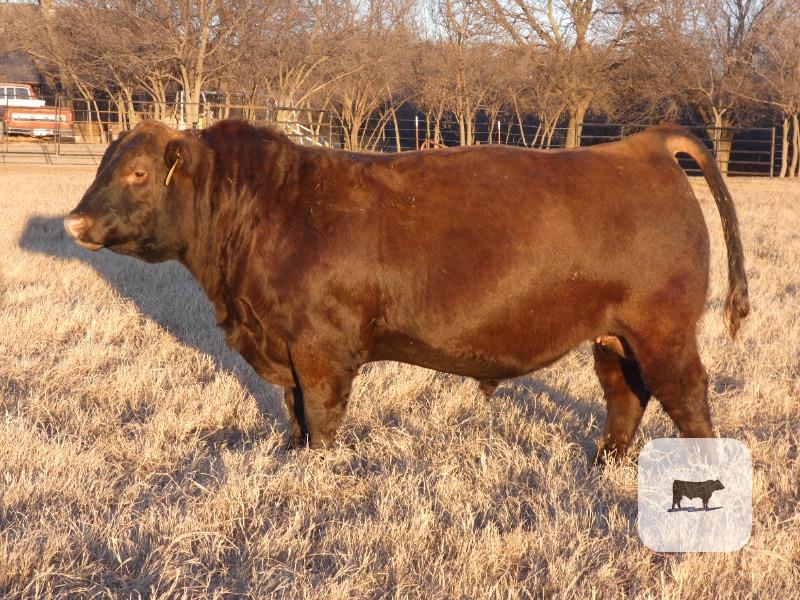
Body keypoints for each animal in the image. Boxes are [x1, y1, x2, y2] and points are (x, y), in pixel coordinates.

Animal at [63, 120, 749, 462]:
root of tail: (644, 145)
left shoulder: (321, 350)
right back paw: (604, 464)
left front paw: (316, 474)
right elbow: (295, 416)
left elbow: (322, 418)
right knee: (625, 395)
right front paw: (291, 458)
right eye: (103, 165)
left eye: (138, 172)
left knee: (688, 399)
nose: (74, 221)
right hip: (613, 335)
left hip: (663, 330)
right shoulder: (282, 347)